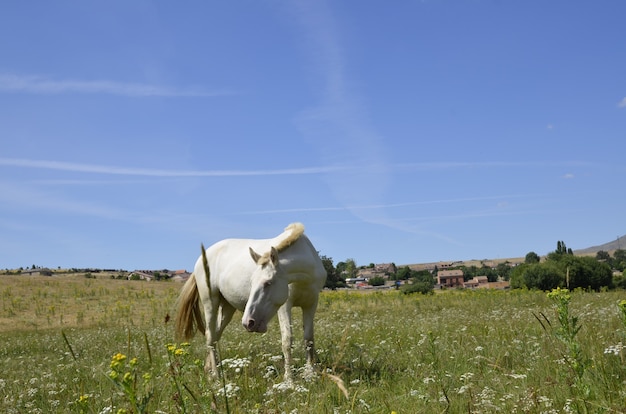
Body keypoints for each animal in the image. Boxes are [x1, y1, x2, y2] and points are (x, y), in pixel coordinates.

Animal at [173, 223, 324, 382]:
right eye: (251, 282)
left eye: (268, 283)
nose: (248, 323)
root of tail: (203, 256)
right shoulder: (284, 306)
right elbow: (287, 341)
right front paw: (289, 379)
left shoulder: (311, 304)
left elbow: (309, 339)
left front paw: (310, 373)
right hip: (210, 302)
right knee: (210, 335)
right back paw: (217, 376)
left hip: (227, 308)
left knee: (215, 336)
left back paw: (209, 370)